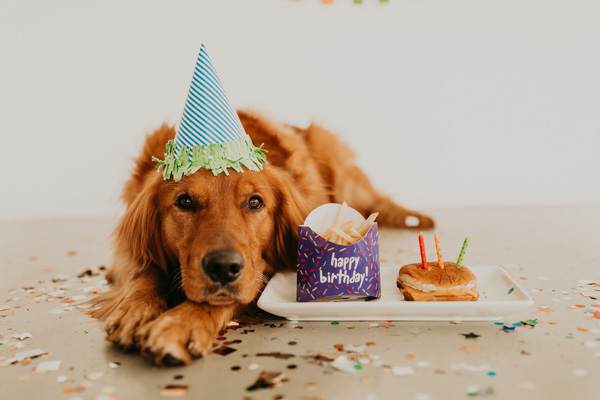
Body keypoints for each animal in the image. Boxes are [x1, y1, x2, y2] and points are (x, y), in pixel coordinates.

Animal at [89, 109, 434, 366]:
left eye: (255, 202)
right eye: (185, 202)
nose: (223, 268)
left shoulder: (266, 268)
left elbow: (223, 299)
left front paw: (180, 323)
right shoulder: (125, 251)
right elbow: (145, 270)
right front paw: (136, 309)